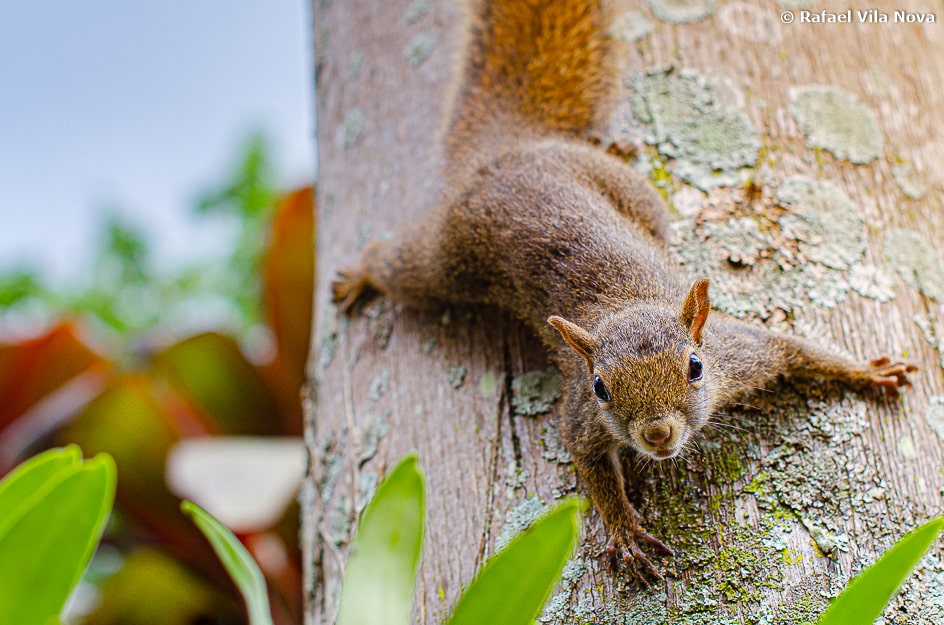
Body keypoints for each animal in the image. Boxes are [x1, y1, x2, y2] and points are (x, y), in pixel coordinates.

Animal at [330, 0, 916, 580]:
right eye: (600, 388)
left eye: (695, 367)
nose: (657, 435)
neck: (629, 306)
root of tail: (511, 151)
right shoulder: (581, 415)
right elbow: (590, 466)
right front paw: (625, 529)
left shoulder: (741, 353)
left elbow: (795, 347)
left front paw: (867, 371)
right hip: (446, 261)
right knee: (397, 265)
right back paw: (361, 274)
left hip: (619, 193)